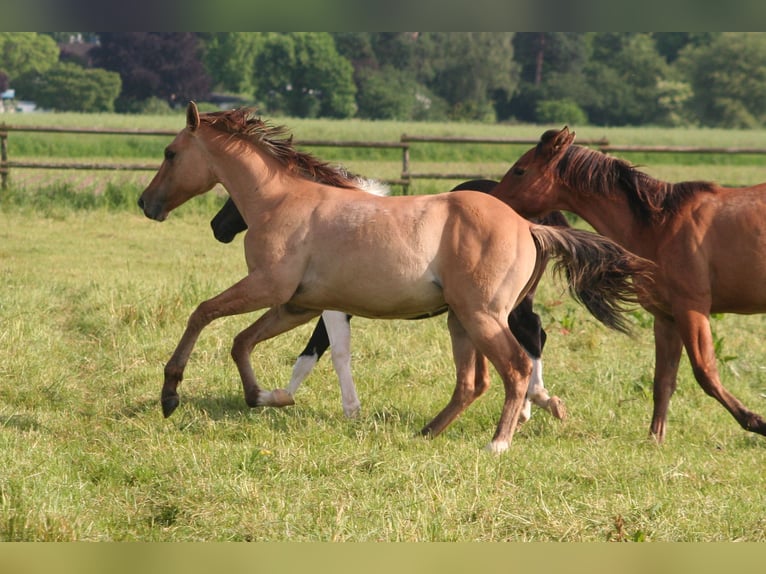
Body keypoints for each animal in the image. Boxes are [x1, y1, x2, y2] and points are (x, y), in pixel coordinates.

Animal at [210, 180, 568, 424]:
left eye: (234, 201)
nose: (217, 227)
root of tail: (530, 224)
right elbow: (312, 355)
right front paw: (278, 396)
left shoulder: (333, 310)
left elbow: (329, 353)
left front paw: (336, 407)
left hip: (494, 310)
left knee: (530, 337)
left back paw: (532, 405)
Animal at [492, 126, 766, 444]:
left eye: (520, 170)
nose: (491, 202)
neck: (661, 225)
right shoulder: (666, 318)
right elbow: (663, 381)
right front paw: (655, 439)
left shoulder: (692, 309)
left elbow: (706, 373)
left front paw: (757, 422)